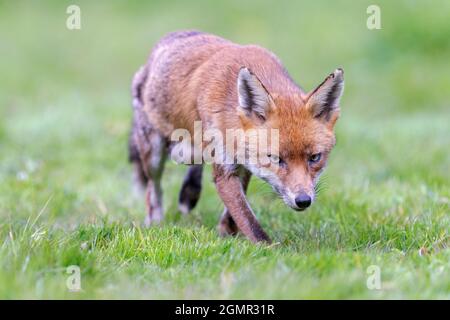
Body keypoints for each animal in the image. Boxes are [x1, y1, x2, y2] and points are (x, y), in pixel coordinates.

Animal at [128, 31, 342, 244]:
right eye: (274, 158)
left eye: (314, 158)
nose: (303, 200)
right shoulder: (225, 170)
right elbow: (248, 219)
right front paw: (268, 248)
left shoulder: (245, 162)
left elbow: (236, 210)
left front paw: (227, 231)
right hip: (154, 155)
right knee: (153, 189)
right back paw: (155, 221)